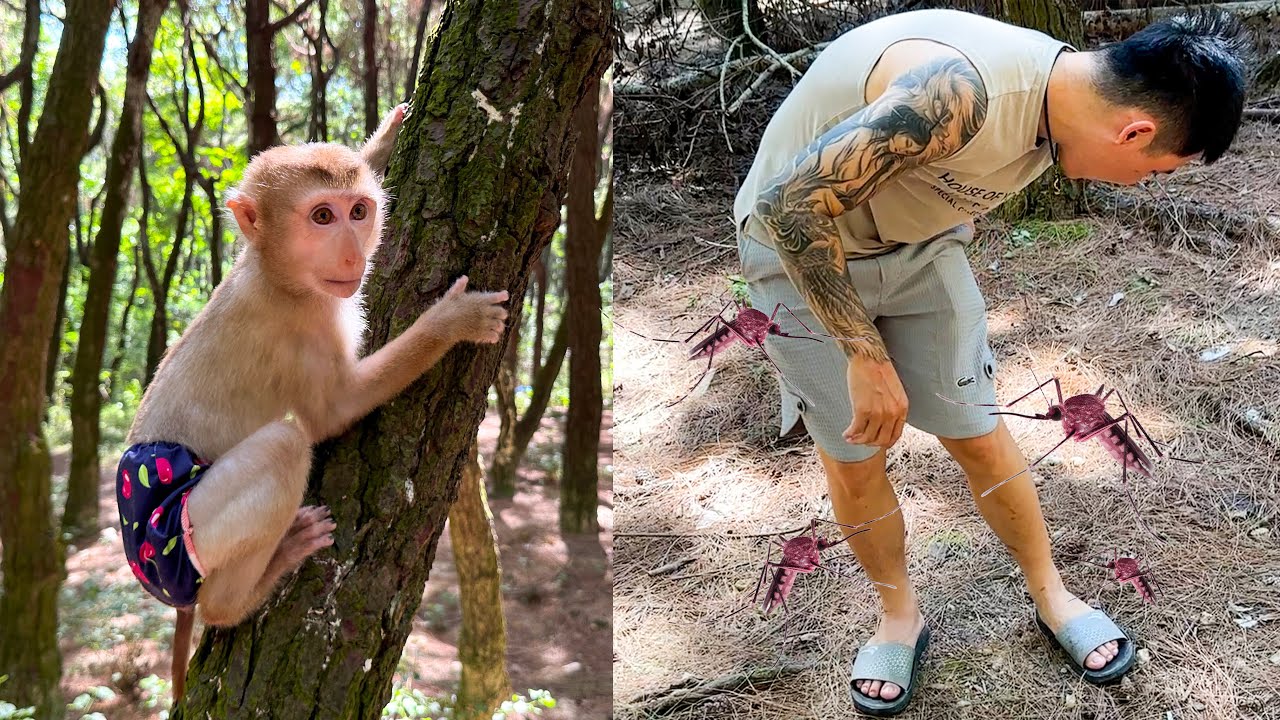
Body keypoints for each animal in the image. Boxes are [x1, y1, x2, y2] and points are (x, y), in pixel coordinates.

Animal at [113, 103, 504, 696]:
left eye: (358, 211)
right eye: (322, 217)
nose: (351, 252)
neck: (276, 275)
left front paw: (381, 141)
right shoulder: (304, 326)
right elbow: (332, 413)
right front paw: (452, 321)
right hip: (177, 535)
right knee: (284, 445)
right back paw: (239, 598)